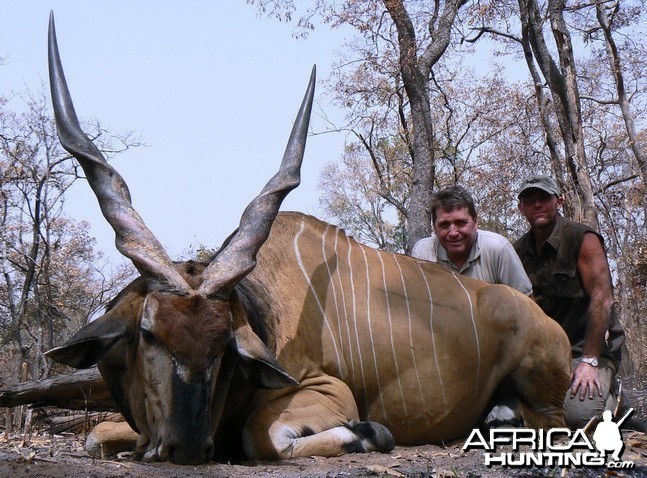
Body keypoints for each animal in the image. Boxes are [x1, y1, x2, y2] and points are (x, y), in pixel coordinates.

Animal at [46, 13, 572, 464]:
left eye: (224, 347)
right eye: (150, 334)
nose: (189, 448)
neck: (264, 311)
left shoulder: (326, 389)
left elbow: (260, 436)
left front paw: (370, 433)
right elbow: (95, 434)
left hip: (546, 395)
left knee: (552, 424)